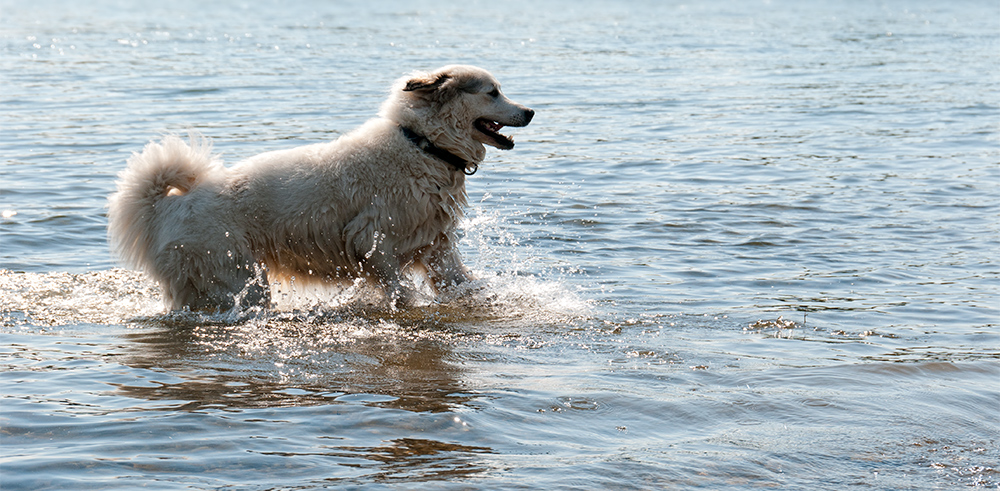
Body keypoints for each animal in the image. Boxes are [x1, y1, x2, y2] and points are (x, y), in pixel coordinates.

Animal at [105, 64, 536, 312]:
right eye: (492, 92)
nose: (530, 111)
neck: (422, 144)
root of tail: (168, 206)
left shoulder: (437, 246)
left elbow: (463, 284)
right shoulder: (372, 240)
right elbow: (399, 290)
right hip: (238, 279)